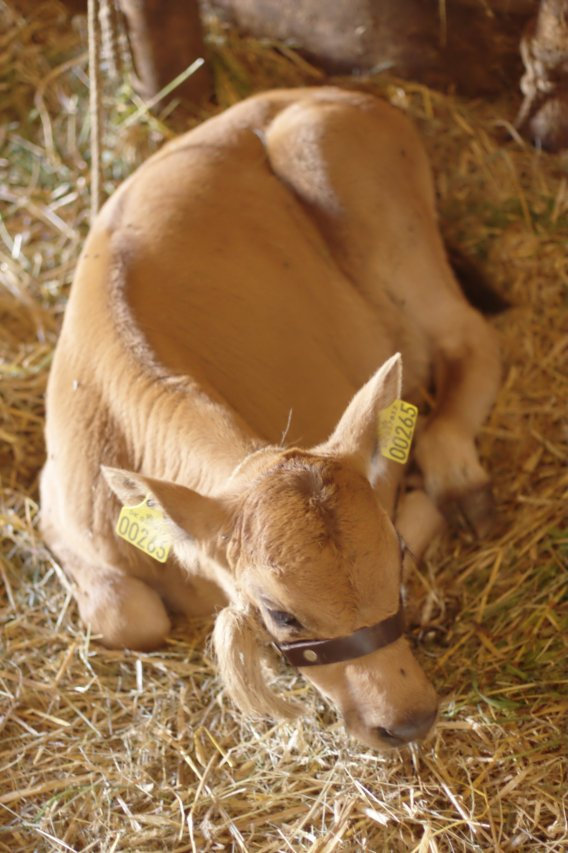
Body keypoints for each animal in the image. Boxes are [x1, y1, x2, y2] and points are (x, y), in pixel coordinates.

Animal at [41, 90, 502, 748]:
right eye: (281, 613)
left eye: (396, 559)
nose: (409, 720)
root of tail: (333, 95)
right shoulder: (52, 504)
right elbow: (129, 617)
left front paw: (419, 502)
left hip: (344, 170)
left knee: (470, 338)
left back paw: (458, 482)